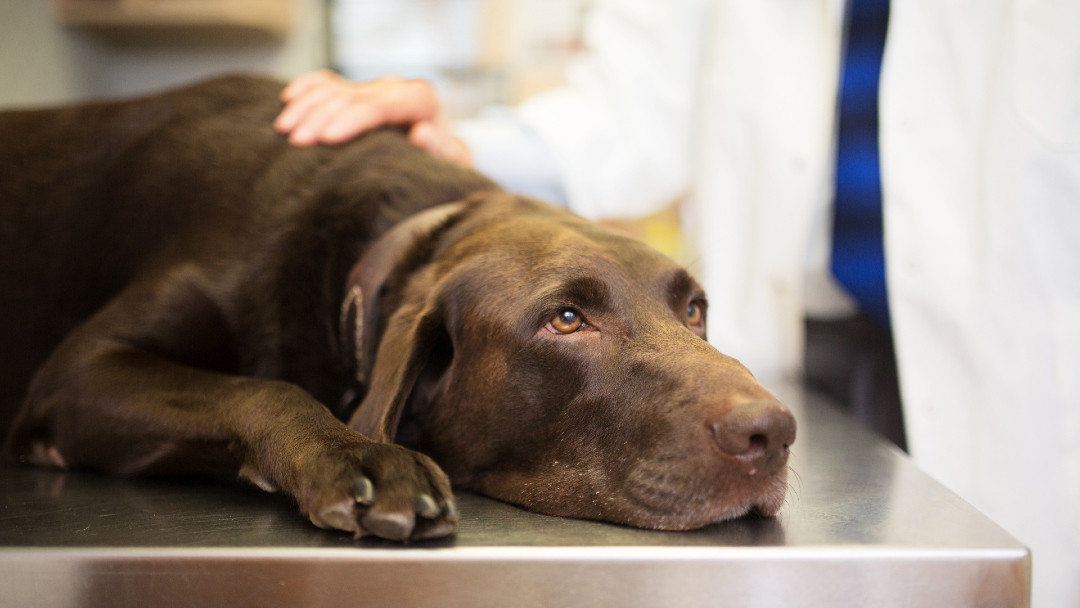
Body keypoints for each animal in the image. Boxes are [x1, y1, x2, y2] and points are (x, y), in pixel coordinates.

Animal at [0, 75, 794, 542]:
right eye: (566, 319)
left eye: (694, 310)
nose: (774, 432)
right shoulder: (77, 376)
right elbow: (266, 390)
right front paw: (364, 457)